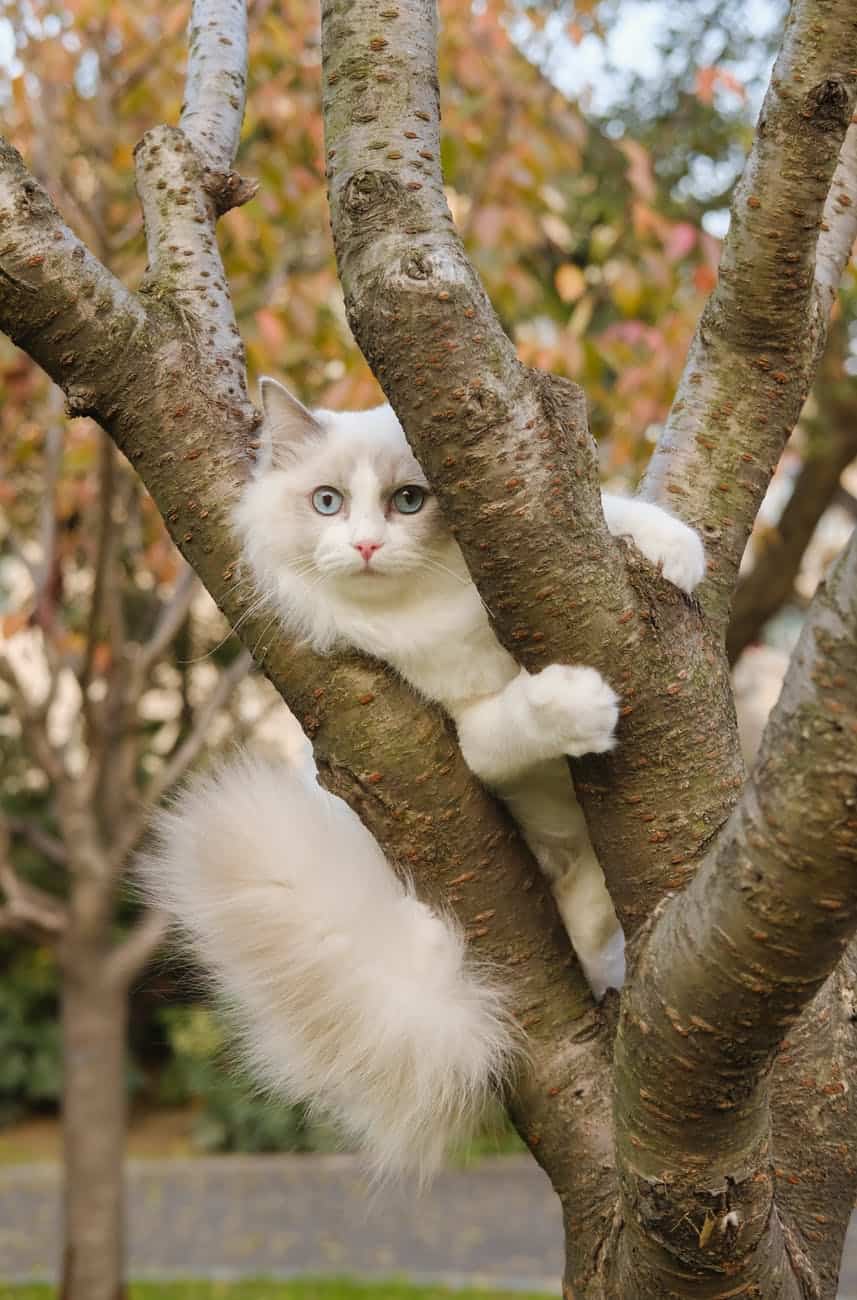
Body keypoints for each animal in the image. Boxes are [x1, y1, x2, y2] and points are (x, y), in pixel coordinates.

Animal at [139, 379, 702, 1180]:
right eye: (328, 503)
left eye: (409, 501)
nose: (367, 546)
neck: (432, 610)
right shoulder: (462, 728)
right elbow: (512, 720)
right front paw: (582, 705)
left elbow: (618, 516)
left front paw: (678, 551)